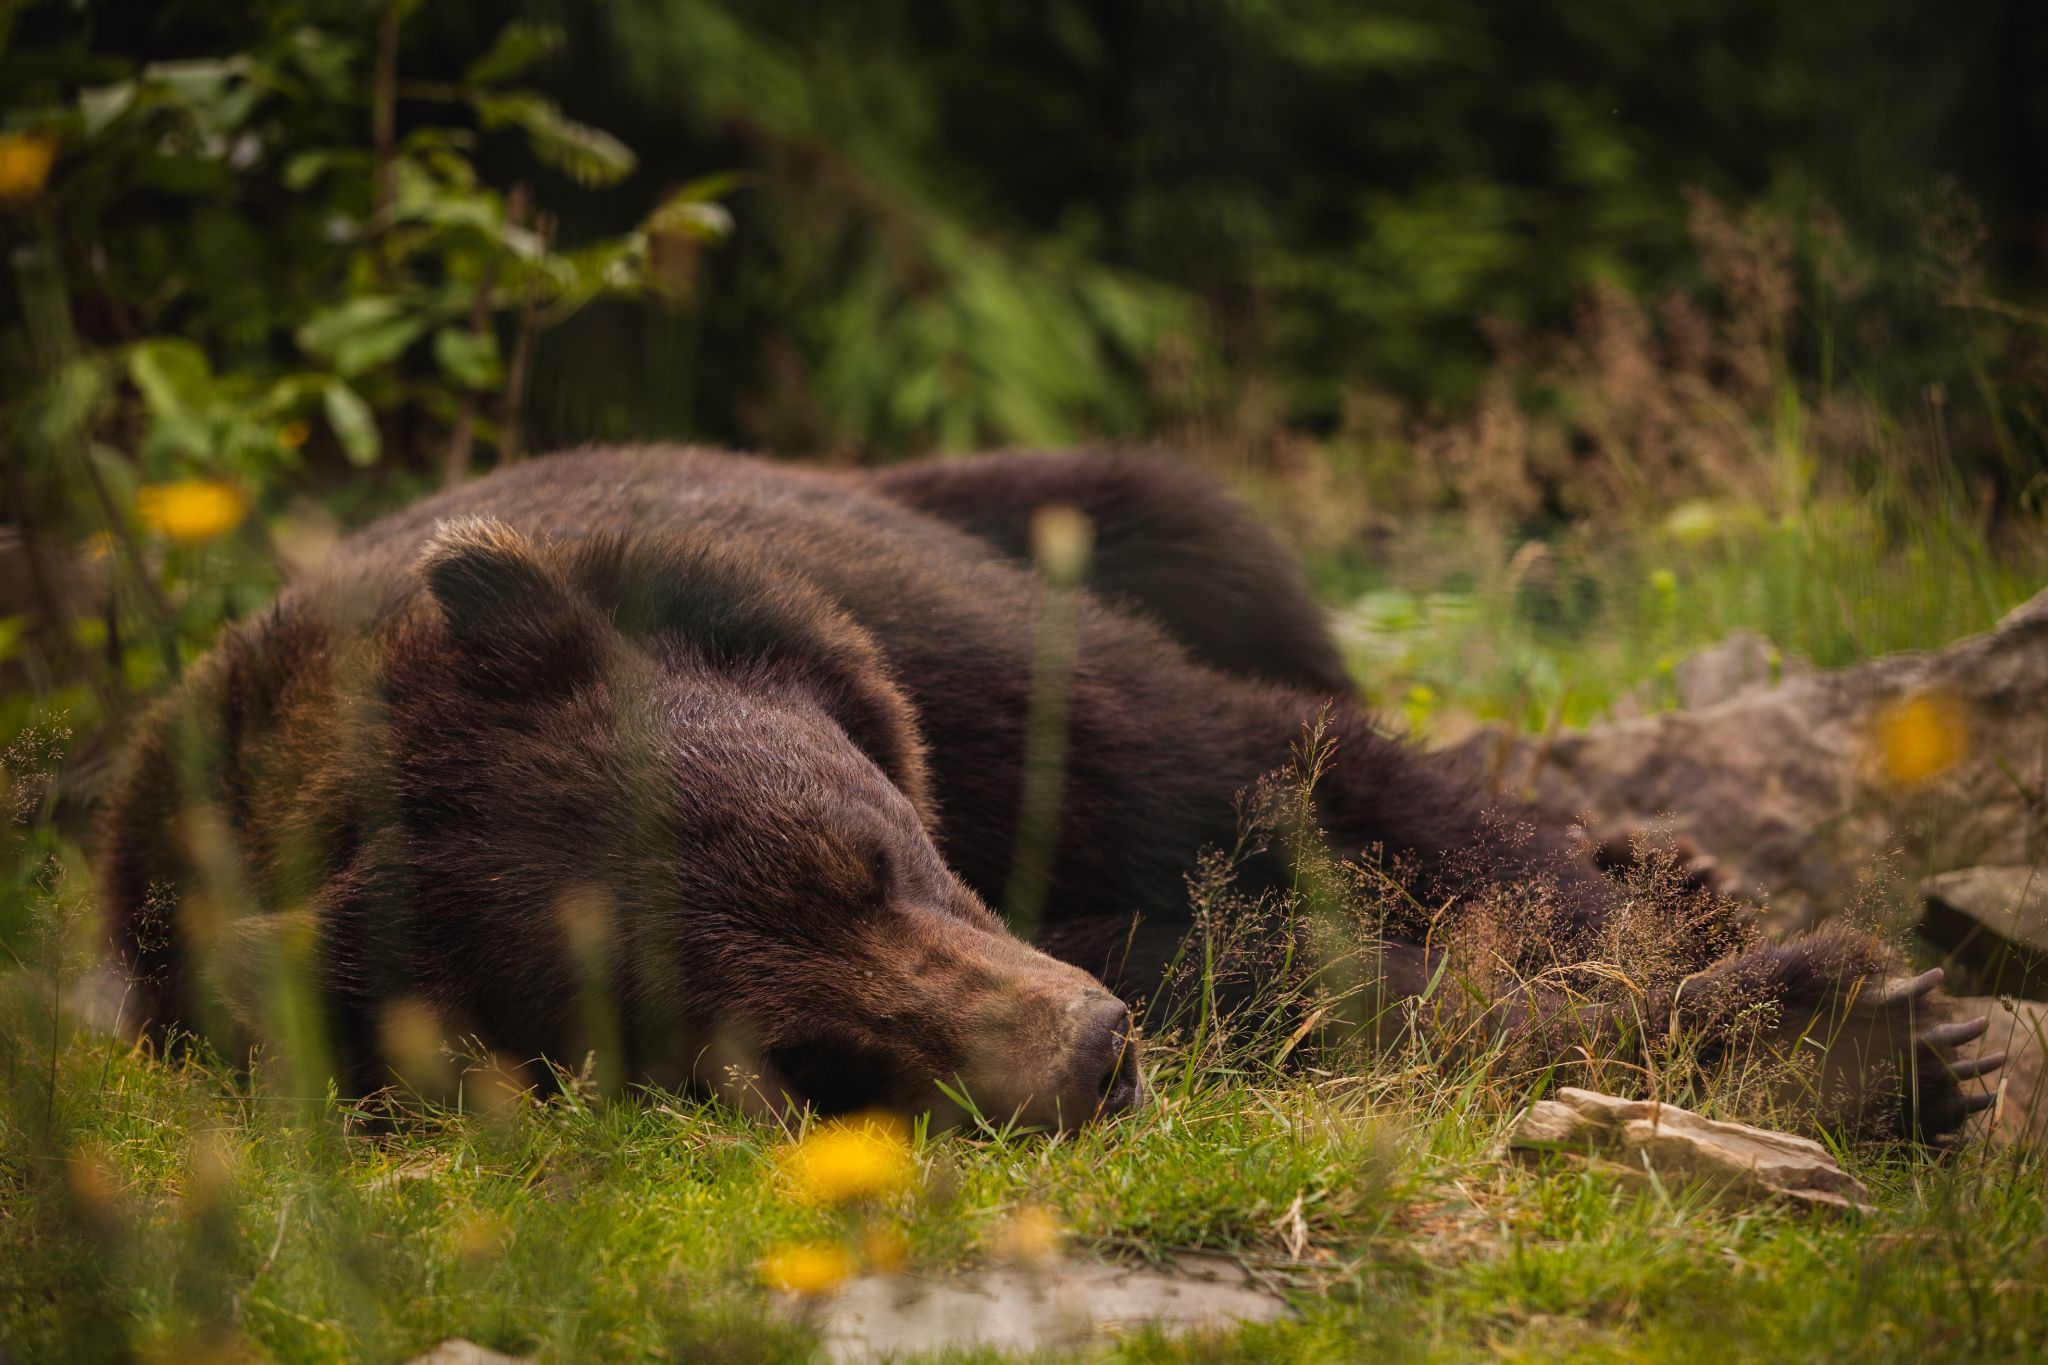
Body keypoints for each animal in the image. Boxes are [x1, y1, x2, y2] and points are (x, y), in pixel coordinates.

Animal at [100, 446, 2001, 1137]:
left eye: (868, 854)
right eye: (787, 1059)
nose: (1088, 1054)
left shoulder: (953, 674)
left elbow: (1282, 782)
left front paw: (1772, 974)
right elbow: (1281, 974)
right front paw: (1847, 1027)